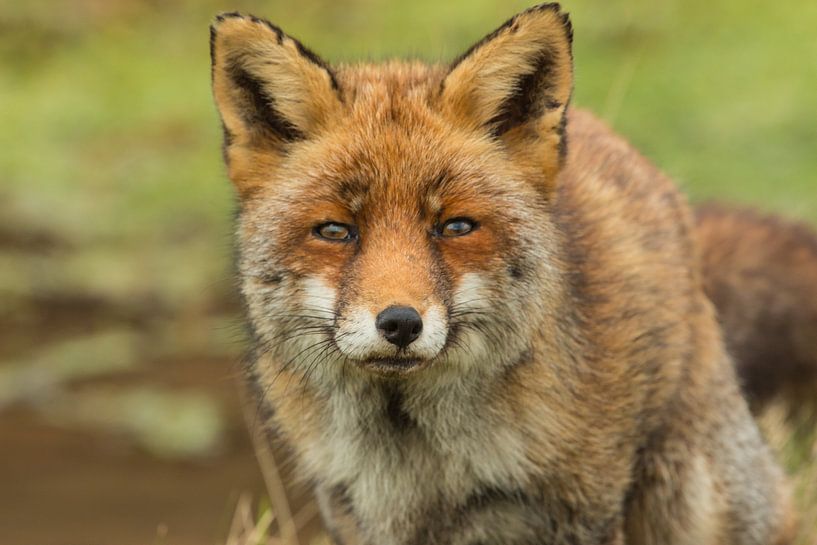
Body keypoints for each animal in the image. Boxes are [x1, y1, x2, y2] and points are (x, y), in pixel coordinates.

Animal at [209, 5, 808, 544]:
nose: (400, 324)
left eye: (455, 226)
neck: (419, 463)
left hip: (692, 498)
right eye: (336, 230)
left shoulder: (585, 511)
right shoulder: (361, 516)